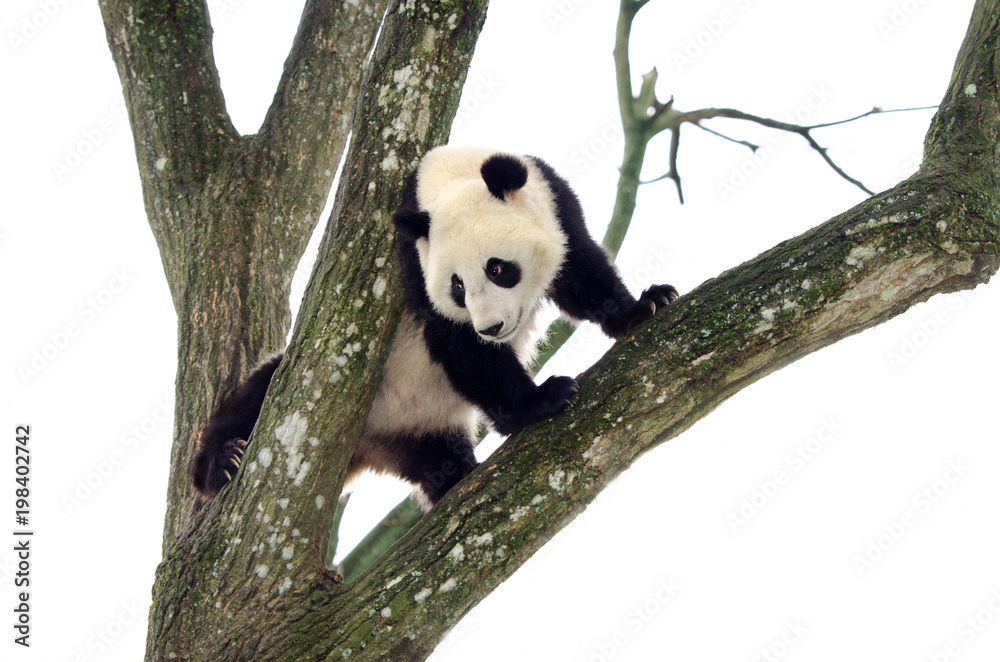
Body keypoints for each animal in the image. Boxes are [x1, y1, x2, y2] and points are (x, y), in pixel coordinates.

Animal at [192, 145, 678, 509]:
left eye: (498, 268)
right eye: (457, 286)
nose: (493, 327)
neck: (451, 179)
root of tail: (366, 445)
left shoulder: (555, 203)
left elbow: (581, 271)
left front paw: (644, 305)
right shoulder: (414, 263)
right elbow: (459, 345)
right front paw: (541, 399)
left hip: (422, 428)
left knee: (433, 454)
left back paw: (453, 475)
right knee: (259, 393)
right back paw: (221, 463)